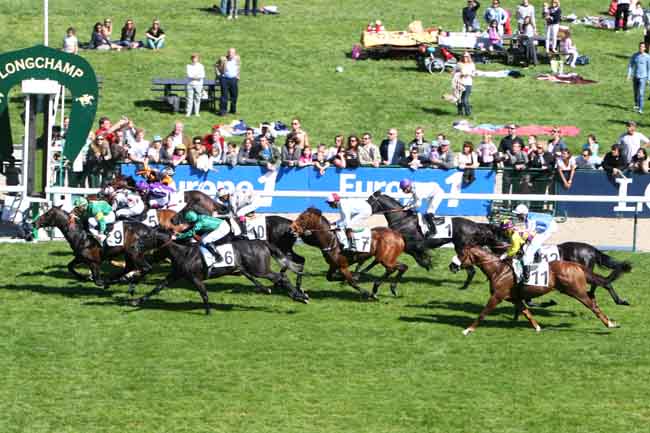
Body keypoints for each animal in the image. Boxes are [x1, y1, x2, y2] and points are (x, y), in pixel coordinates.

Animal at [131, 228, 306, 312]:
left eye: (146, 237)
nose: (133, 247)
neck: (183, 253)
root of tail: (262, 242)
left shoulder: (195, 278)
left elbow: (203, 293)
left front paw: (208, 311)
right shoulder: (175, 275)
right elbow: (157, 287)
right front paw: (136, 301)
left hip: (260, 269)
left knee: (281, 277)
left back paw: (300, 296)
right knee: (279, 279)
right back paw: (298, 295)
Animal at [368, 191, 504, 288]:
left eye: (369, 201)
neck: (402, 219)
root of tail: (476, 225)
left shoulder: (412, 245)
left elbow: (419, 256)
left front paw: (427, 263)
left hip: (461, 248)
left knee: (471, 270)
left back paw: (463, 284)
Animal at [456, 246, 616, 334]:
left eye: (461, 254)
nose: (452, 265)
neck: (498, 270)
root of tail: (576, 265)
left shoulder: (497, 296)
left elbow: (483, 313)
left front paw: (468, 330)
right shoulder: (515, 298)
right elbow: (527, 312)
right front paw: (537, 327)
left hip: (577, 292)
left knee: (593, 305)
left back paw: (609, 323)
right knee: (593, 299)